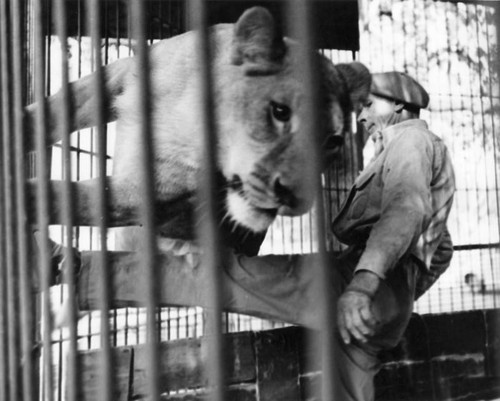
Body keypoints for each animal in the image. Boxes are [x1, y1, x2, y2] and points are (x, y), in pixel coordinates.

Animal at [25, 7, 370, 253]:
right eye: (280, 112)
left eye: (332, 141)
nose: (295, 198)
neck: (191, 113)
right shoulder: (120, 74)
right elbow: (60, 107)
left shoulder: (150, 194)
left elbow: (66, 198)